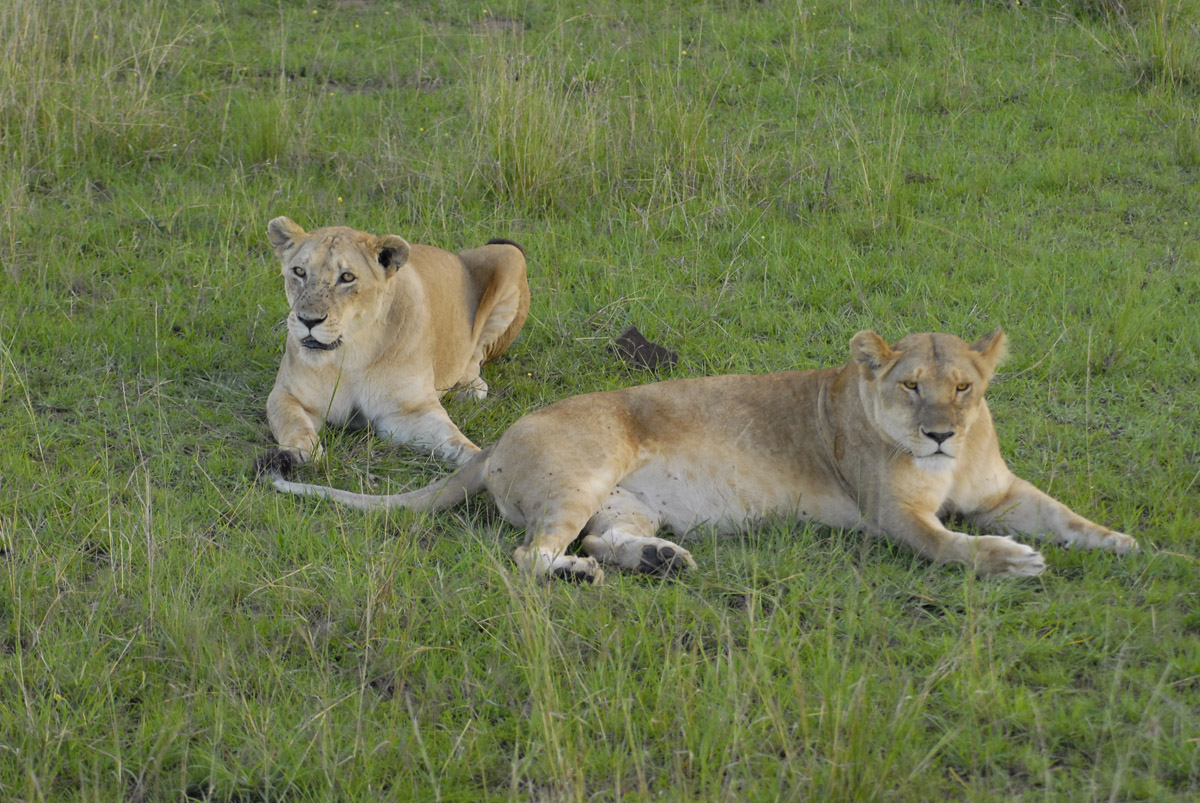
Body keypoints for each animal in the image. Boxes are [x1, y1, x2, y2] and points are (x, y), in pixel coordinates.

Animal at [260, 326, 1132, 583]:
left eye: (965, 389)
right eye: (913, 386)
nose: (941, 433)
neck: (952, 465)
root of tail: (498, 438)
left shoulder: (1001, 487)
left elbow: (1063, 513)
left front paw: (1123, 541)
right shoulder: (897, 516)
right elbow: (954, 544)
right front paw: (1010, 558)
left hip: (624, 499)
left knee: (607, 536)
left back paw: (659, 559)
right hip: (583, 472)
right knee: (529, 555)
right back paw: (581, 574)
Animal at [265, 216, 528, 465]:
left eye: (347, 277)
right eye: (299, 271)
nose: (308, 320)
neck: (352, 354)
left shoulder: (408, 412)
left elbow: (452, 438)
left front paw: (480, 462)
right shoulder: (286, 394)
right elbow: (294, 422)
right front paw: (303, 451)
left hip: (509, 254)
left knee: (477, 352)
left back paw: (470, 387)